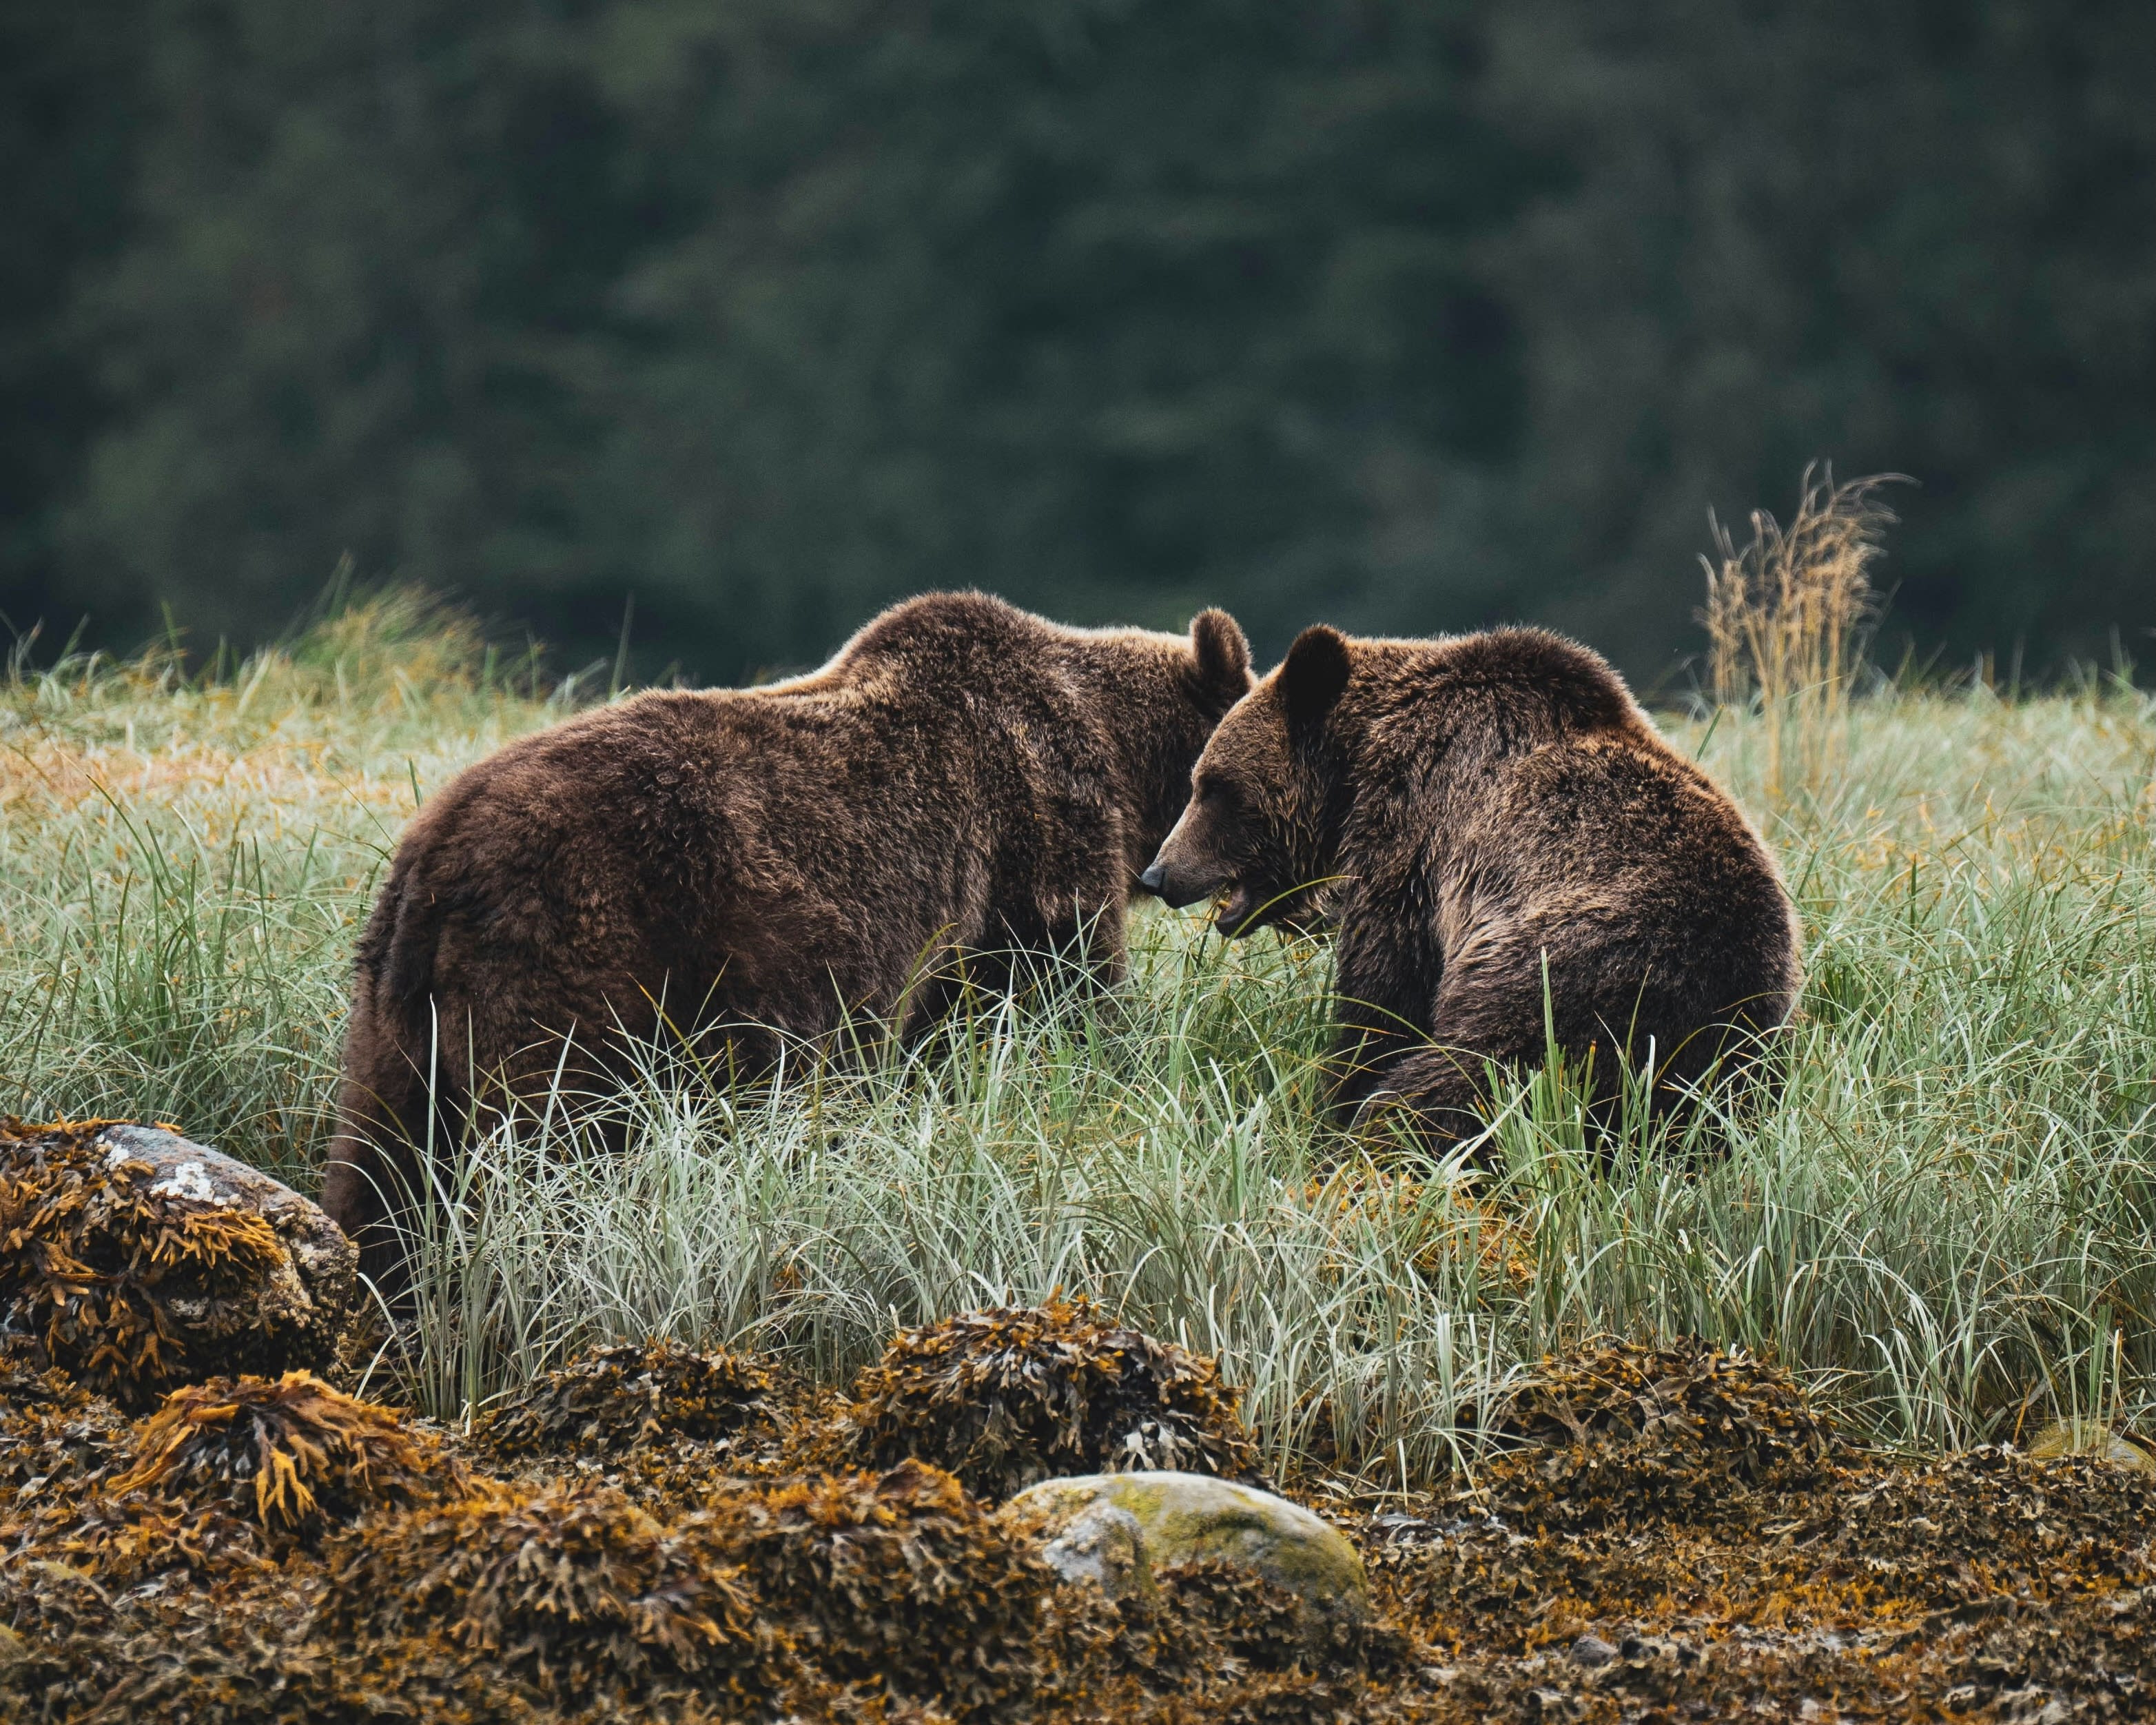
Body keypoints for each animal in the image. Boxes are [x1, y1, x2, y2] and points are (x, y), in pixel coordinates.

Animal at [325, 592, 1252, 1284]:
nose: (1172, 880)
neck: (1120, 756)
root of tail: (437, 855)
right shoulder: (1033, 849)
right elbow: (1056, 1003)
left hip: (394, 1017)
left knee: (383, 1170)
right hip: (581, 950)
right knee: (558, 1140)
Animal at [1138, 622, 1801, 1147]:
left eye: (1213, 786)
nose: (1160, 873)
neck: (1356, 767)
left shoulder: (1414, 841)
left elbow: (1385, 993)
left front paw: (1337, 1098)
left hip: (1568, 986)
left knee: (1450, 1086)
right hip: (1740, 1047)